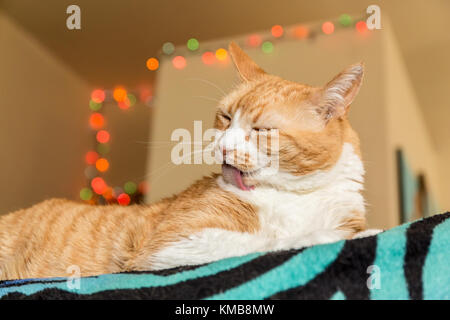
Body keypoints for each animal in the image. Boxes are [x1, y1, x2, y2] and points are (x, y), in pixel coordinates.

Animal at [1, 43, 378, 280]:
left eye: (261, 130)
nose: (222, 147)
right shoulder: (170, 245)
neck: (297, 195)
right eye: (226, 118)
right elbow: (268, 242)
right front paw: (335, 235)